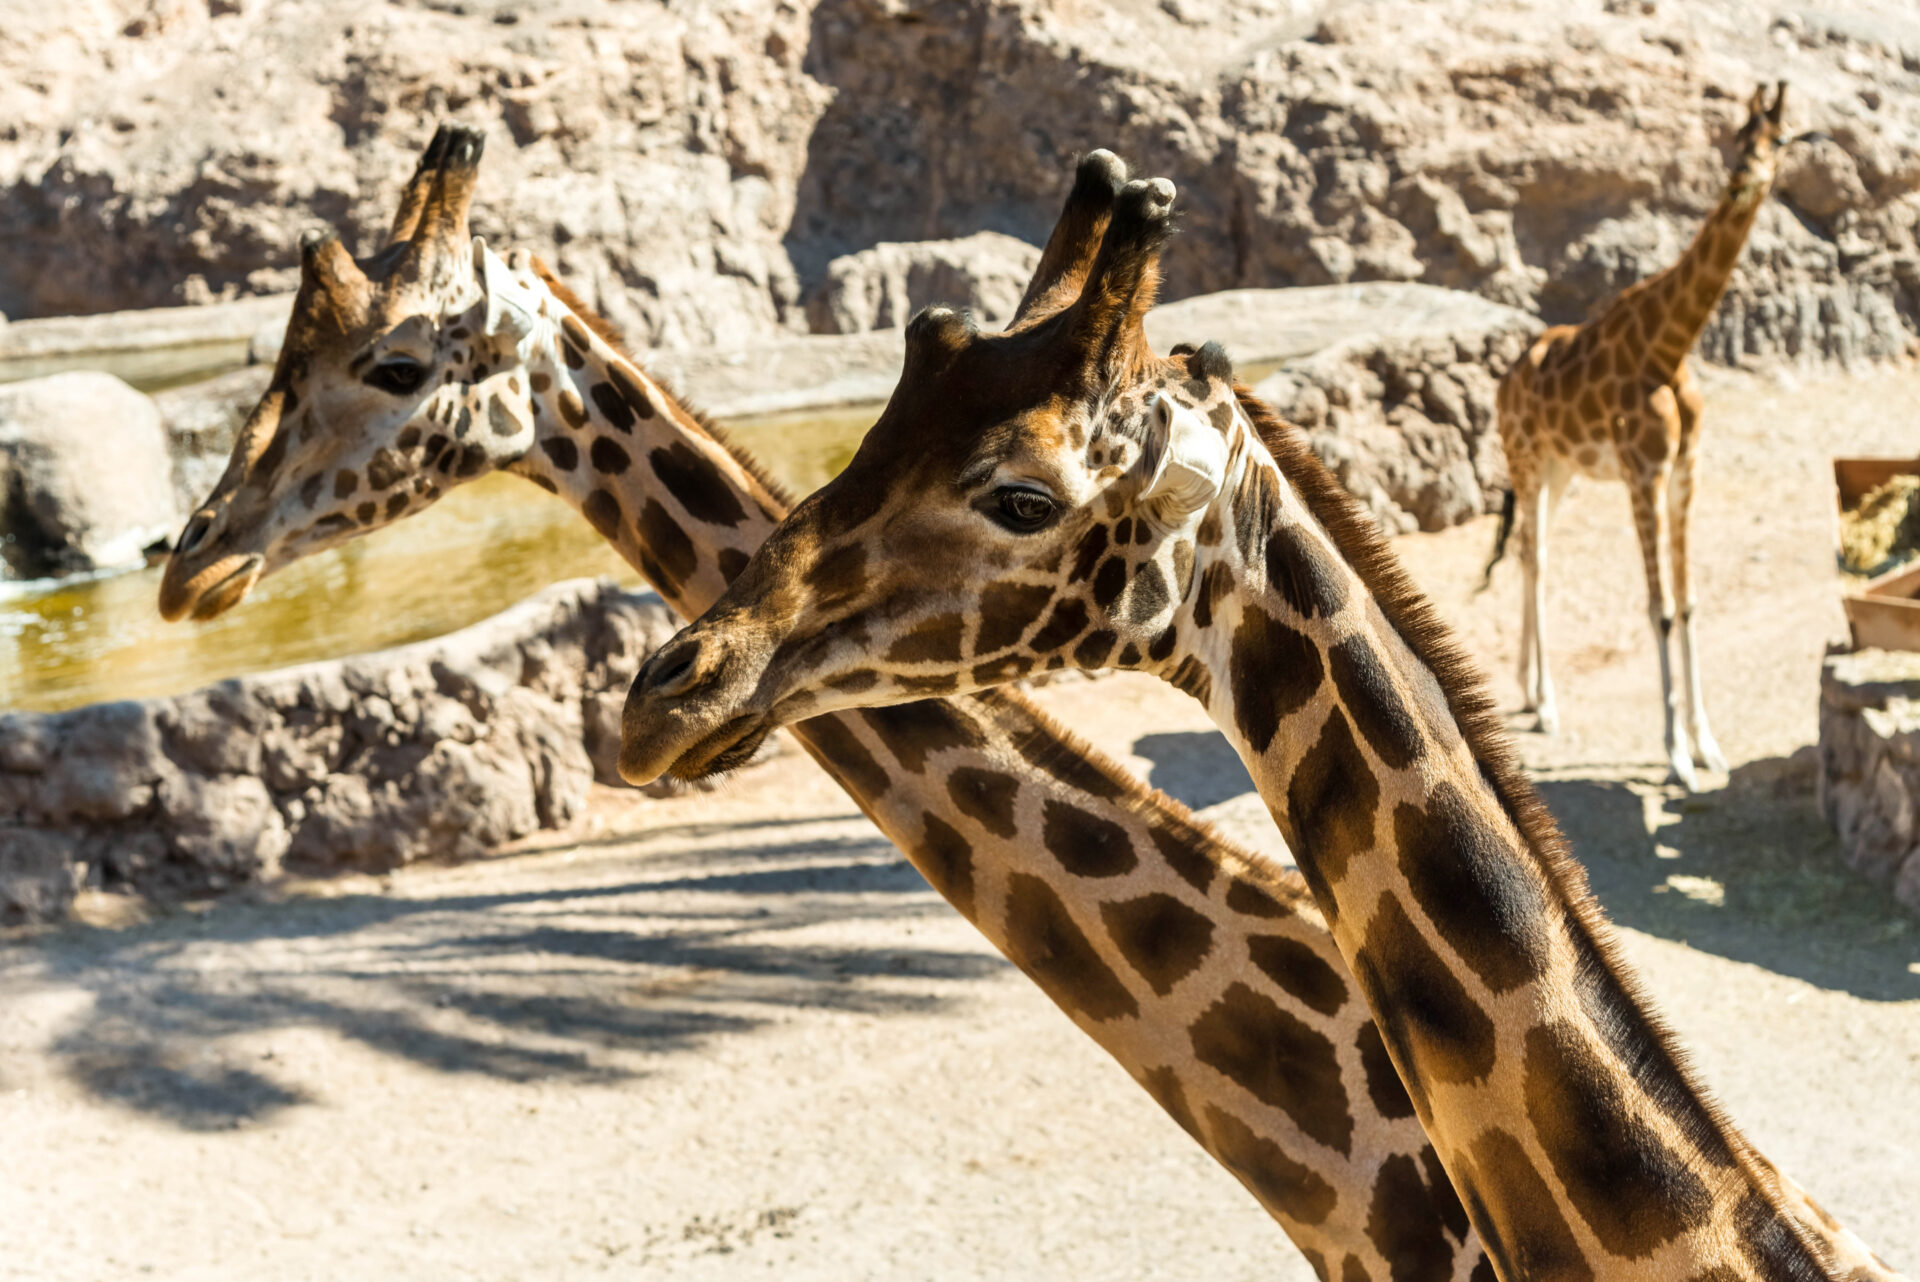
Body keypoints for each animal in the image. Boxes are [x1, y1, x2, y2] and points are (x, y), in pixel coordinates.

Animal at [1482, 82, 1797, 790]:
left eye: (1780, 140)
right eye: (1739, 136)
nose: (1744, 177)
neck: (1669, 345)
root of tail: (1506, 381)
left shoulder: (1685, 471)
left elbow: (1689, 601)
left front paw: (1708, 744)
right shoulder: (1641, 471)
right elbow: (1659, 607)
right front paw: (1676, 754)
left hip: (1563, 471)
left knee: (1531, 553)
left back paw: (1532, 692)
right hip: (1527, 459)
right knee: (1535, 556)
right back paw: (1547, 707)